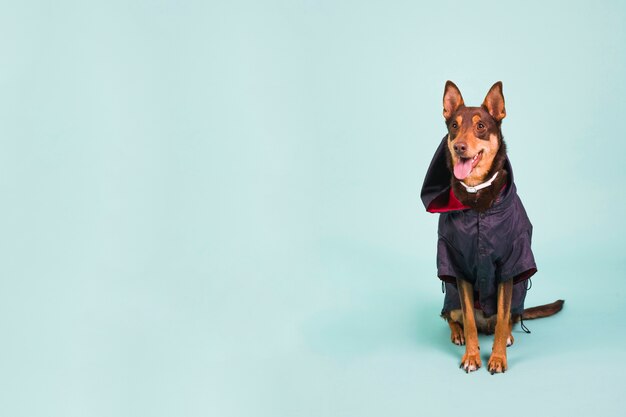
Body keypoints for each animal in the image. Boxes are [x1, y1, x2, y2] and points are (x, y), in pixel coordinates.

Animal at [422, 81, 564, 374]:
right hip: (451, 295)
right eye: (454, 125)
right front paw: (471, 355)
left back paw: (507, 334)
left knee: (507, 318)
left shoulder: (509, 265)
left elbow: (501, 319)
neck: (477, 199)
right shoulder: (457, 267)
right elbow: (468, 319)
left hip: (517, 296)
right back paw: (458, 334)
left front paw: (497, 358)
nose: (459, 147)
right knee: (452, 316)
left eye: (480, 126)